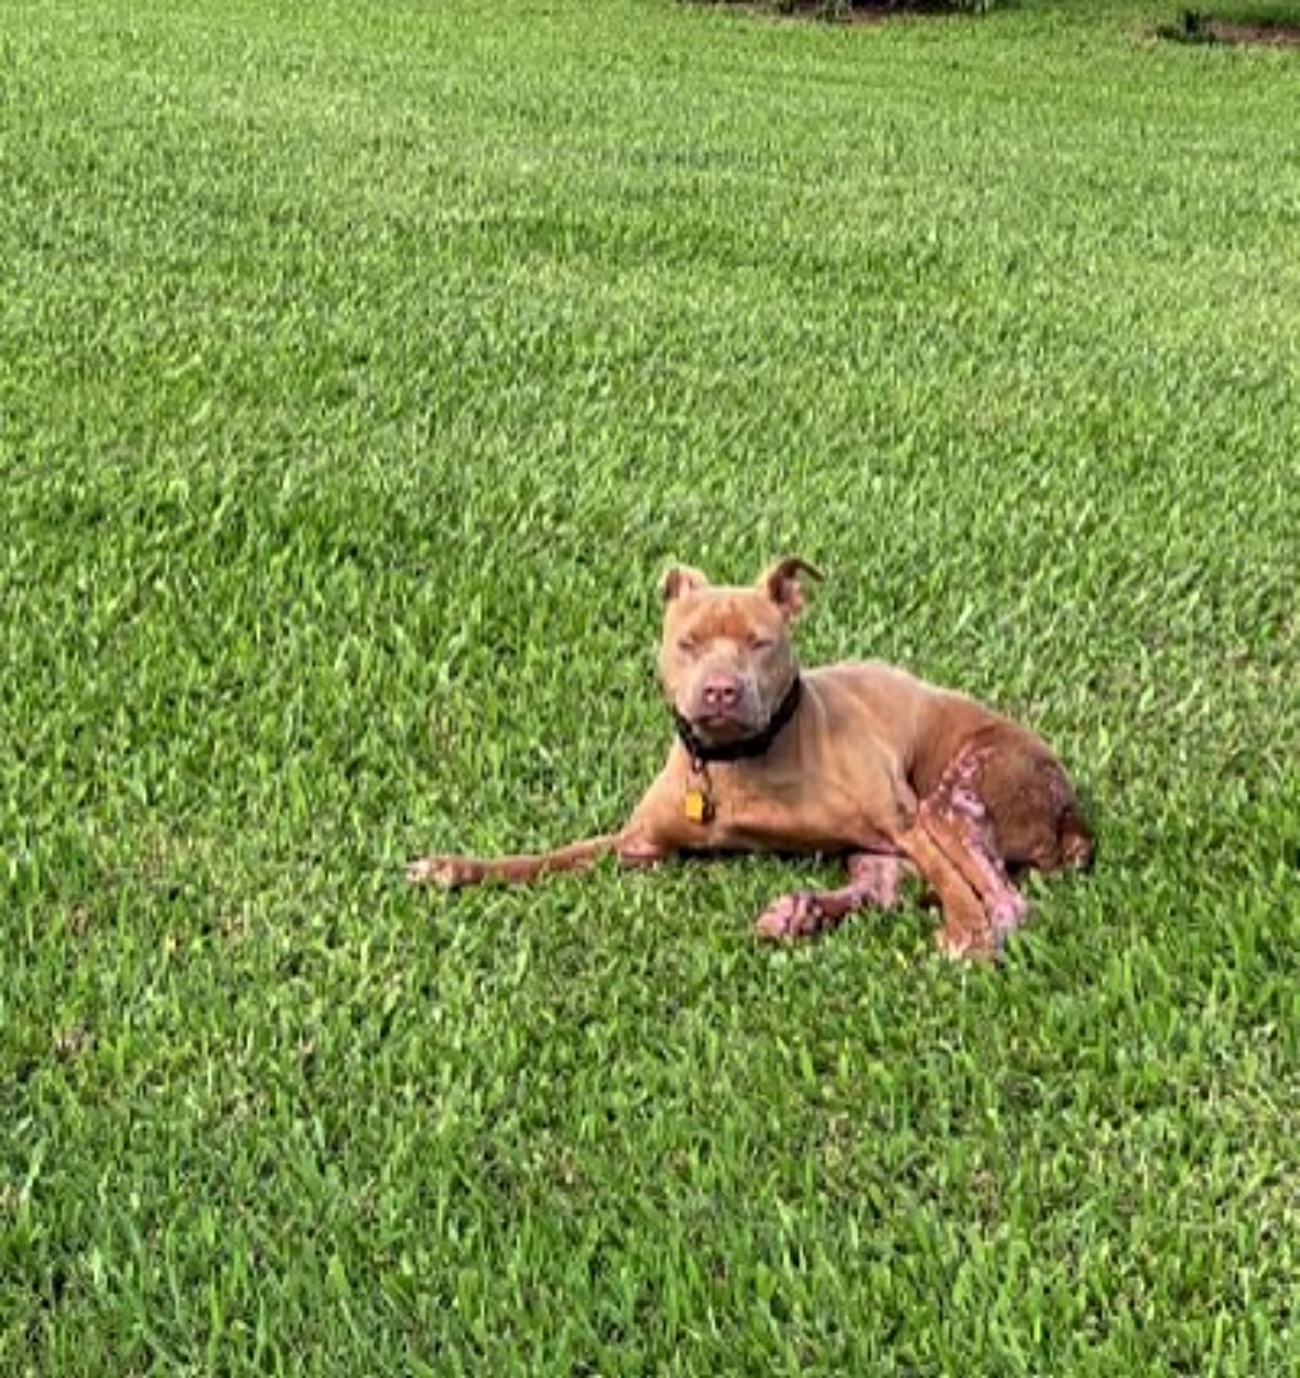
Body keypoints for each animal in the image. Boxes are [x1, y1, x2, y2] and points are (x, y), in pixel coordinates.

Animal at [405, 553, 1086, 953]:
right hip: (886, 845)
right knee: (882, 886)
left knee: (1001, 896)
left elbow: (951, 882)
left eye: (760, 642)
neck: (736, 762)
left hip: (956, 798)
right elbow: (545, 857)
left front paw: (964, 931)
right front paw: (456, 868)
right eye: (688, 642)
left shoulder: (906, 819)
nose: (720, 690)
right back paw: (801, 912)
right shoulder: (635, 846)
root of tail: (1072, 814)